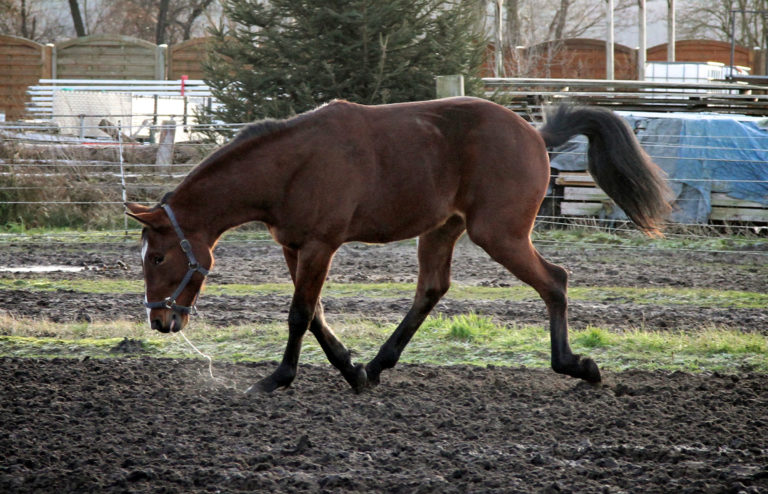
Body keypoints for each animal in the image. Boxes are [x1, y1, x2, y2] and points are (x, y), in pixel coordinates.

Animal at [125, 96, 669, 393]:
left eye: (159, 256)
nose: (160, 320)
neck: (292, 164)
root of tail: (535, 134)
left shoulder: (320, 246)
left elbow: (300, 314)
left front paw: (276, 379)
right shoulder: (294, 247)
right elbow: (315, 313)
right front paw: (351, 370)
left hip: (500, 234)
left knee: (554, 281)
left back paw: (577, 365)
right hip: (443, 230)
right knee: (431, 289)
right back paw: (379, 364)